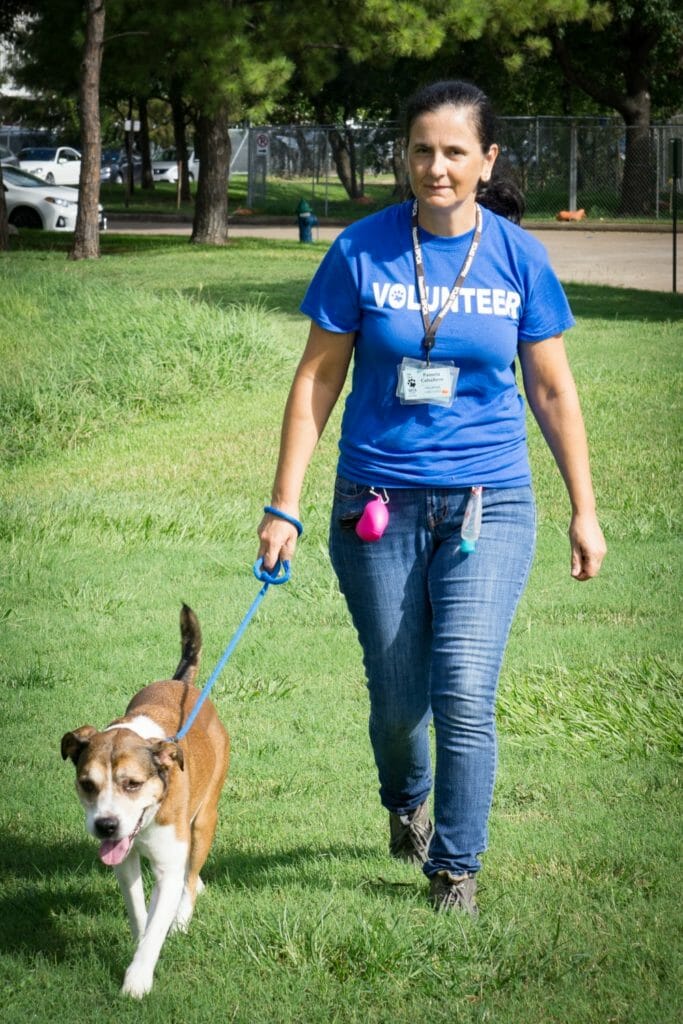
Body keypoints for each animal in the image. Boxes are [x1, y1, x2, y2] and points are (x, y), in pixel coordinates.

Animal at [60, 602, 229, 995]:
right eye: (87, 784)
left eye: (132, 784)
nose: (106, 825)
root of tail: (182, 683)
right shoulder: (124, 861)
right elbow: (140, 912)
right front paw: (140, 942)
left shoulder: (168, 859)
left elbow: (160, 916)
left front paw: (138, 979)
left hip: (205, 818)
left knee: (190, 874)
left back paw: (182, 914)